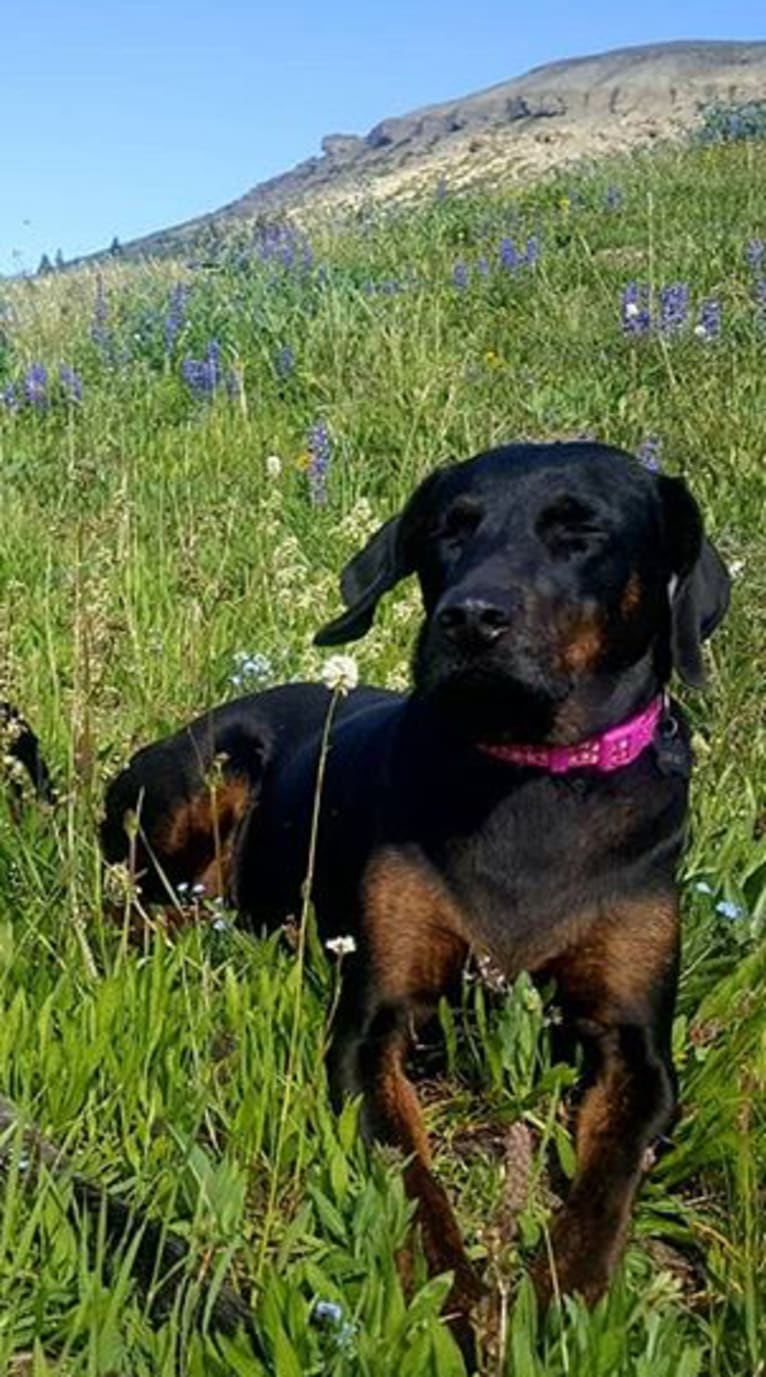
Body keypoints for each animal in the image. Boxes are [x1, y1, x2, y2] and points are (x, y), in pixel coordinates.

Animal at [101, 440, 727, 1354]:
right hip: (208, 768)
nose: (470, 618)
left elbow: (607, 1183)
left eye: (581, 531)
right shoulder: (378, 1020)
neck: (528, 775)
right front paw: (458, 1307)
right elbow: (413, 1183)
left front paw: (560, 1305)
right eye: (448, 528)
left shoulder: (636, 1045)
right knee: (131, 896)